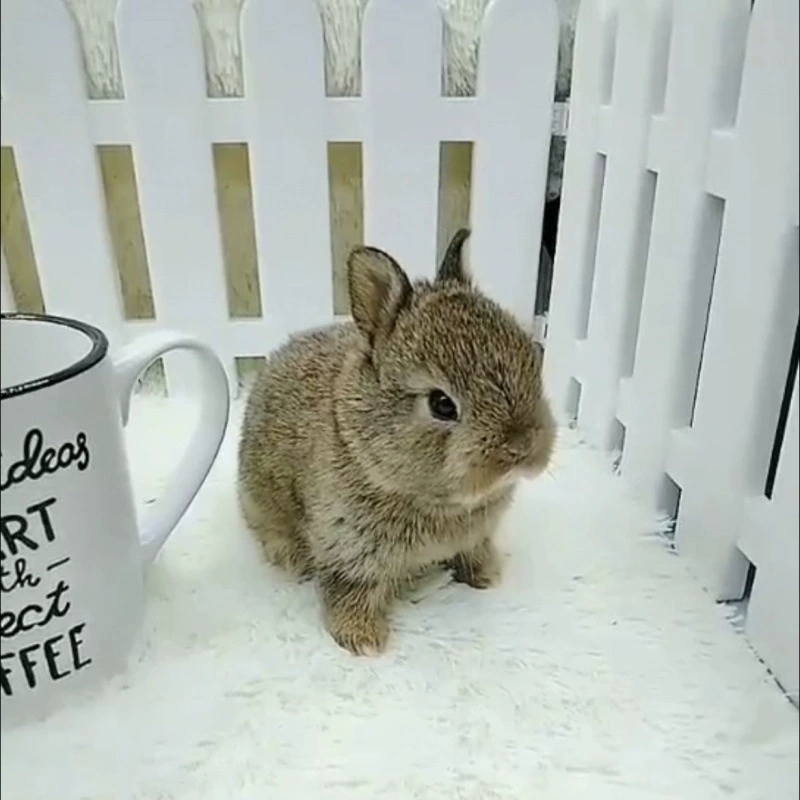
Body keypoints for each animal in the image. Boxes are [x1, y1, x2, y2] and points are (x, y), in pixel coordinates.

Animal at [237, 229, 556, 655]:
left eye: (533, 357)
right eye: (441, 404)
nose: (522, 448)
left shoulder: (475, 534)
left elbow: (473, 550)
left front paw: (487, 575)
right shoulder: (350, 550)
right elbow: (352, 590)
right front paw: (364, 641)